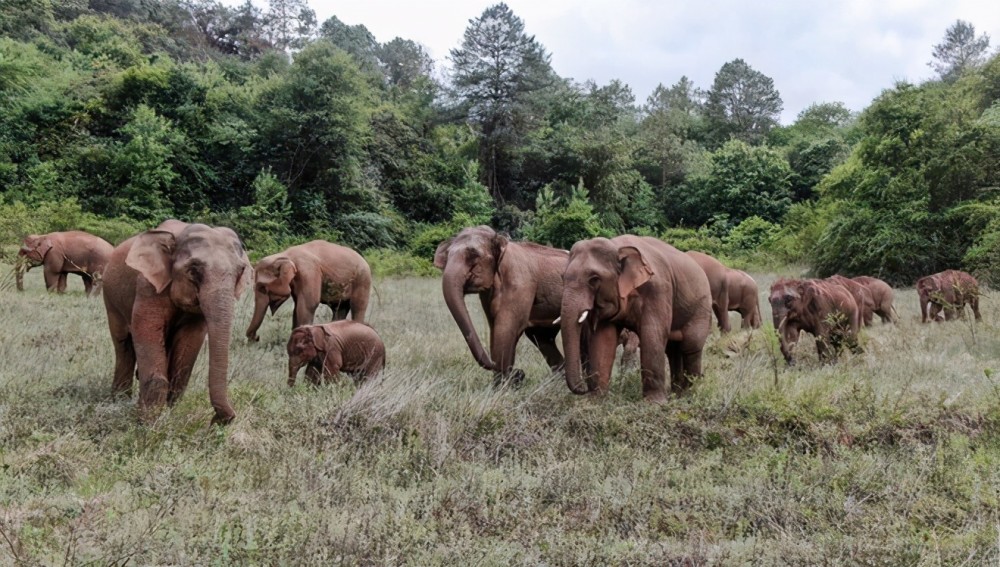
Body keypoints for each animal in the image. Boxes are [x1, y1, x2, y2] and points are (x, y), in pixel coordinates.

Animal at [102, 220, 254, 424]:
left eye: (241, 271)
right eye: (194, 269)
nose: (219, 420)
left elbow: (190, 340)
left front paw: (167, 414)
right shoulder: (148, 285)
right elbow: (146, 329)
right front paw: (148, 422)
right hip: (111, 299)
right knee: (123, 345)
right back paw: (119, 401)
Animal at [434, 225, 568, 386]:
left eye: (474, 255)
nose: (519, 373)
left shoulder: (520, 282)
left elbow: (506, 328)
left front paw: (503, 385)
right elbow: (495, 327)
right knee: (541, 336)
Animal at [560, 234, 716, 400]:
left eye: (594, 279)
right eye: (562, 277)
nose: (583, 388)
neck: (617, 246)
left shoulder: (659, 289)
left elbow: (652, 334)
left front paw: (654, 402)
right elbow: (604, 339)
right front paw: (595, 399)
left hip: (701, 307)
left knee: (691, 345)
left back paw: (689, 395)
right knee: (673, 349)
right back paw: (676, 394)